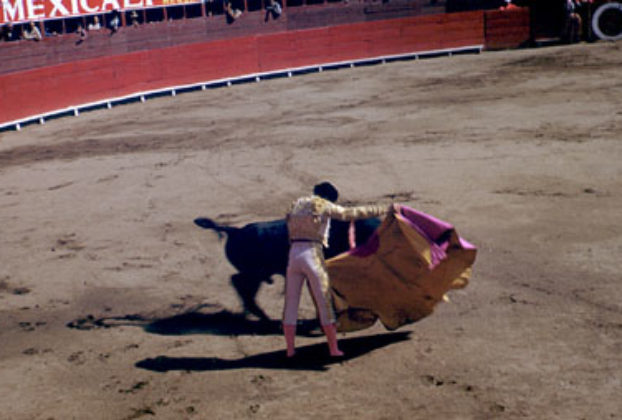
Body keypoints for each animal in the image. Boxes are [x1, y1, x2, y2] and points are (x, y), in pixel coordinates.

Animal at [194, 217, 380, 322]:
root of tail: (235, 231)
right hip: (256, 273)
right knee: (239, 283)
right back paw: (262, 317)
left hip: (257, 274)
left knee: (240, 284)